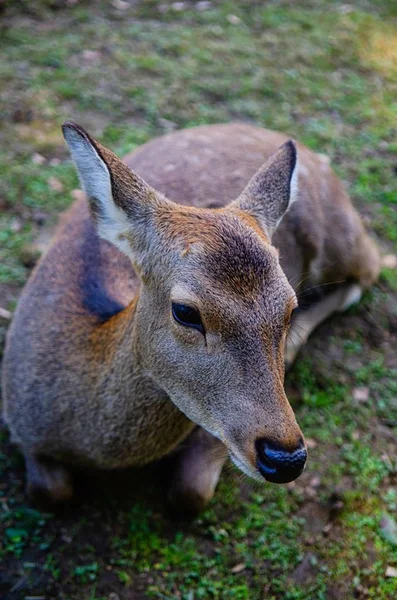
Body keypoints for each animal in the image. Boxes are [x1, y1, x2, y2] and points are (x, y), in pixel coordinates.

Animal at [2, 123, 380, 516]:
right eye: (185, 312)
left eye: (289, 307)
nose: (285, 458)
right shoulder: (18, 422)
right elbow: (50, 492)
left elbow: (190, 492)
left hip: (339, 235)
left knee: (372, 266)